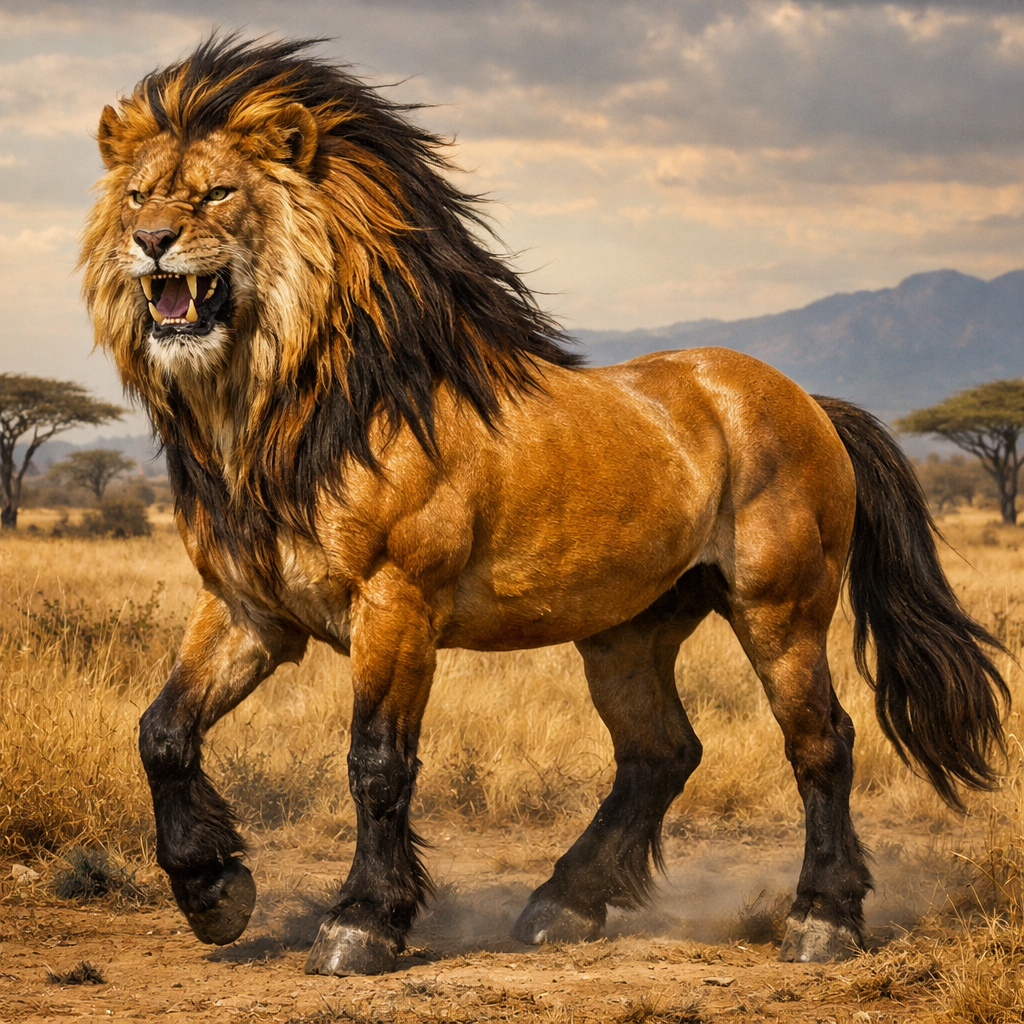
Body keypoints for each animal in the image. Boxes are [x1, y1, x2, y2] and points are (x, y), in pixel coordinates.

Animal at [82, 35, 1007, 978]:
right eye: (137, 195)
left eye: (217, 193)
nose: (150, 242)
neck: (279, 421)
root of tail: (810, 402)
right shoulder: (247, 609)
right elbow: (161, 731)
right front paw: (213, 893)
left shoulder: (396, 604)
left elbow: (376, 762)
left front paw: (360, 925)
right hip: (627, 632)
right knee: (660, 753)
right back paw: (562, 905)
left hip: (780, 609)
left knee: (821, 741)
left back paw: (822, 921)